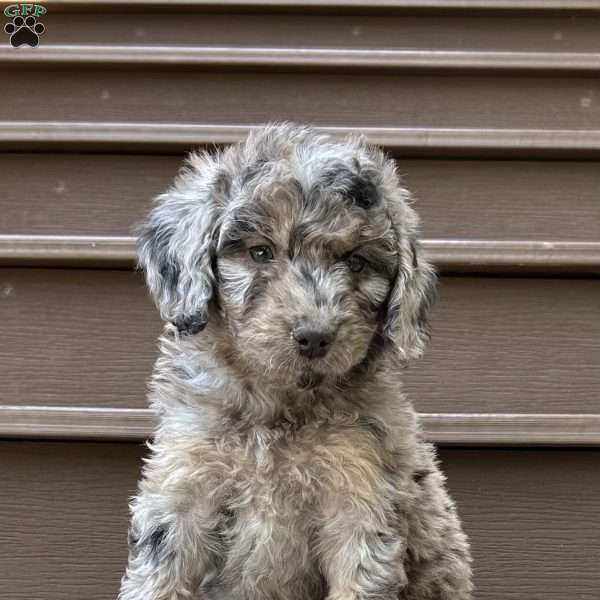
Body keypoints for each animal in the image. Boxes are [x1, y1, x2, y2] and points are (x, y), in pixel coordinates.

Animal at [118, 123, 474, 600]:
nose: (315, 336)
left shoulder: (360, 497)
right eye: (260, 252)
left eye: (356, 262)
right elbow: (158, 578)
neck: (278, 410)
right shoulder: (182, 486)